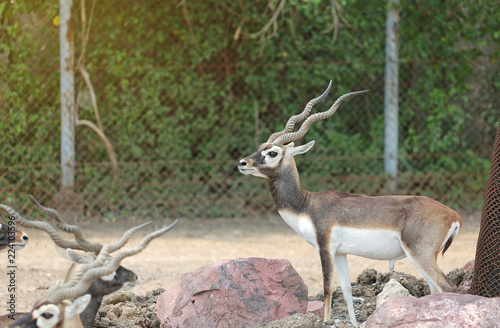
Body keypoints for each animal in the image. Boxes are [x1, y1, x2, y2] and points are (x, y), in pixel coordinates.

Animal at [238, 81, 460, 326]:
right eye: (260, 147)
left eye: (272, 153)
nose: (242, 163)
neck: (306, 204)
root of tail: (454, 215)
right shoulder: (341, 253)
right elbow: (345, 289)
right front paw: (354, 323)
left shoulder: (325, 247)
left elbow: (327, 287)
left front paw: (326, 320)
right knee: (435, 290)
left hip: (420, 255)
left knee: (449, 287)